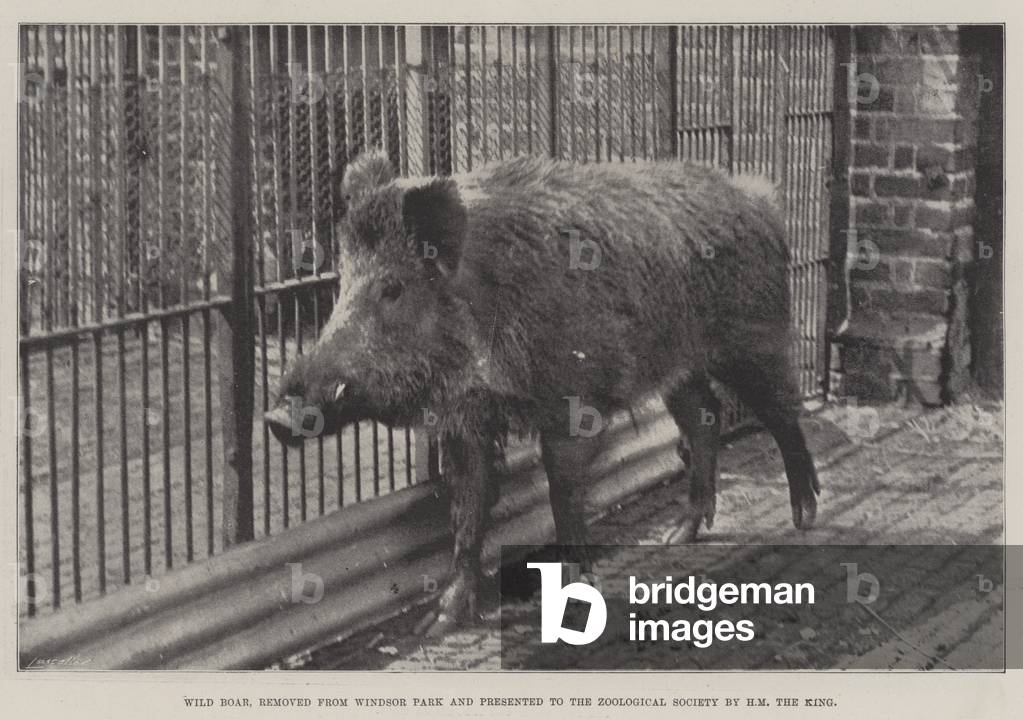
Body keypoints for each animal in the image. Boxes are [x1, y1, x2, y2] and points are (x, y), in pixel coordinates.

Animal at [264, 150, 820, 635]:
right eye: (342, 285)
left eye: (393, 289)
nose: (278, 416)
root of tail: (758, 197)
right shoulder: (466, 419)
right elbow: (467, 510)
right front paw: (438, 622)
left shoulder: (571, 406)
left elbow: (564, 497)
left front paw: (574, 608)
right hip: (679, 365)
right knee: (704, 416)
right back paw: (675, 537)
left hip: (752, 336)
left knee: (782, 413)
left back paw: (804, 518)